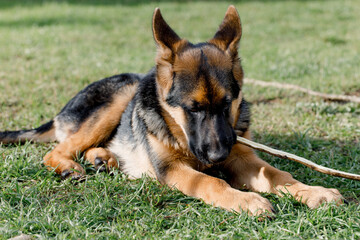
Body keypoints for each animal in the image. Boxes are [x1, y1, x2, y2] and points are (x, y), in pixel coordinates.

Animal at [0, 5, 344, 216]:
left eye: (227, 104)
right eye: (192, 108)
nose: (217, 156)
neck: (179, 131)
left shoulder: (243, 157)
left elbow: (277, 174)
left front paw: (314, 192)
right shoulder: (173, 170)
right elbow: (211, 182)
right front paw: (244, 199)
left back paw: (103, 158)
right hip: (122, 94)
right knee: (56, 151)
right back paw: (71, 166)